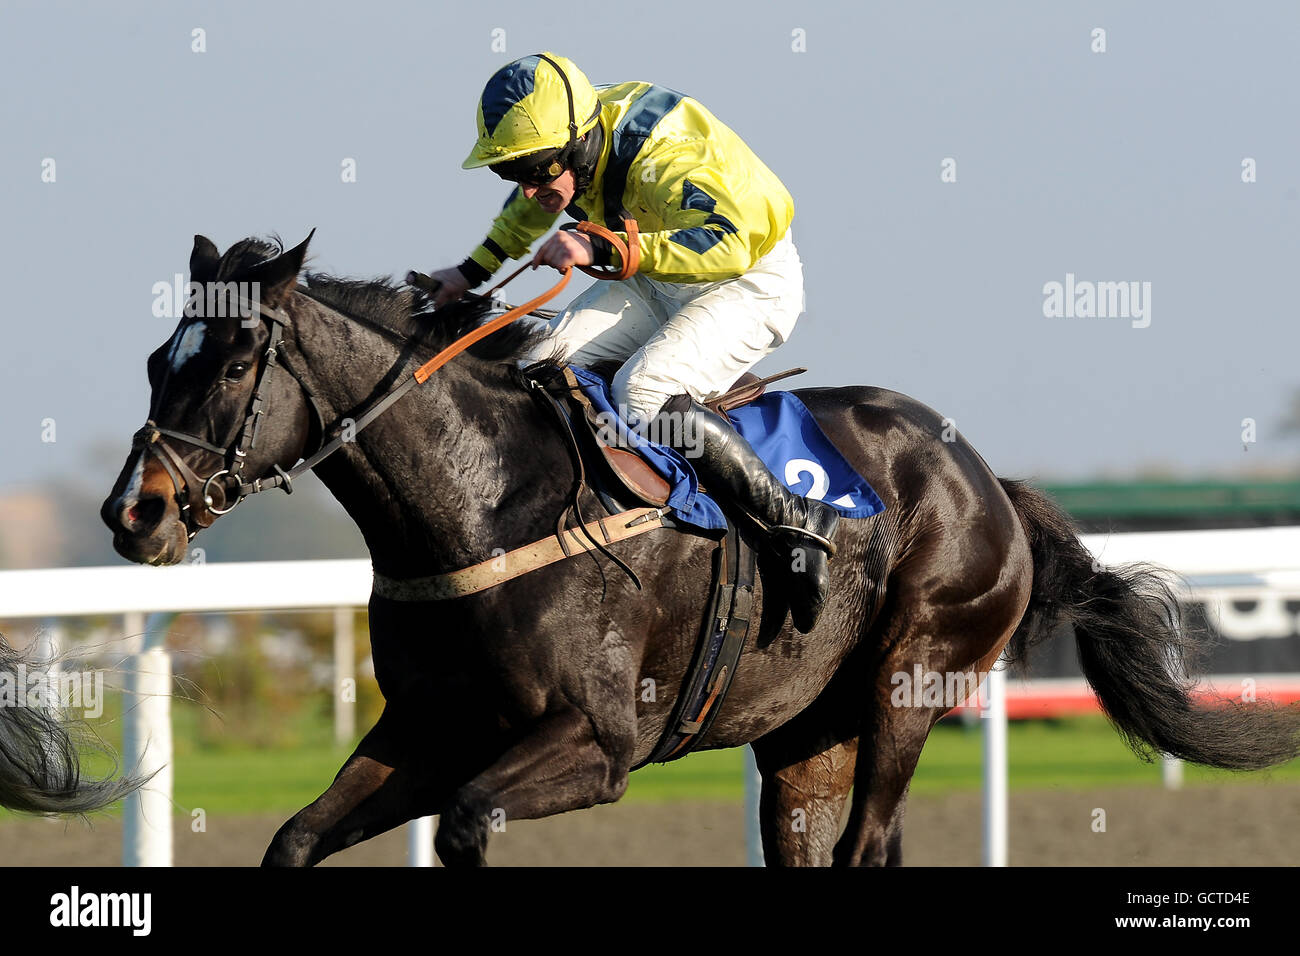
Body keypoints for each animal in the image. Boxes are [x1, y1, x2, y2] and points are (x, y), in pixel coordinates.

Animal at [10, 234, 1300, 868]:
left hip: (913, 679)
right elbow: (293, 838)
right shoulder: (428, 727)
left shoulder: (596, 741)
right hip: (803, 734)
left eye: (232, 361)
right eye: (154, 358)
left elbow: (468, 824)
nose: (134, 511)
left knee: (869, 842)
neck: (484, 498)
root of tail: (986, 477)